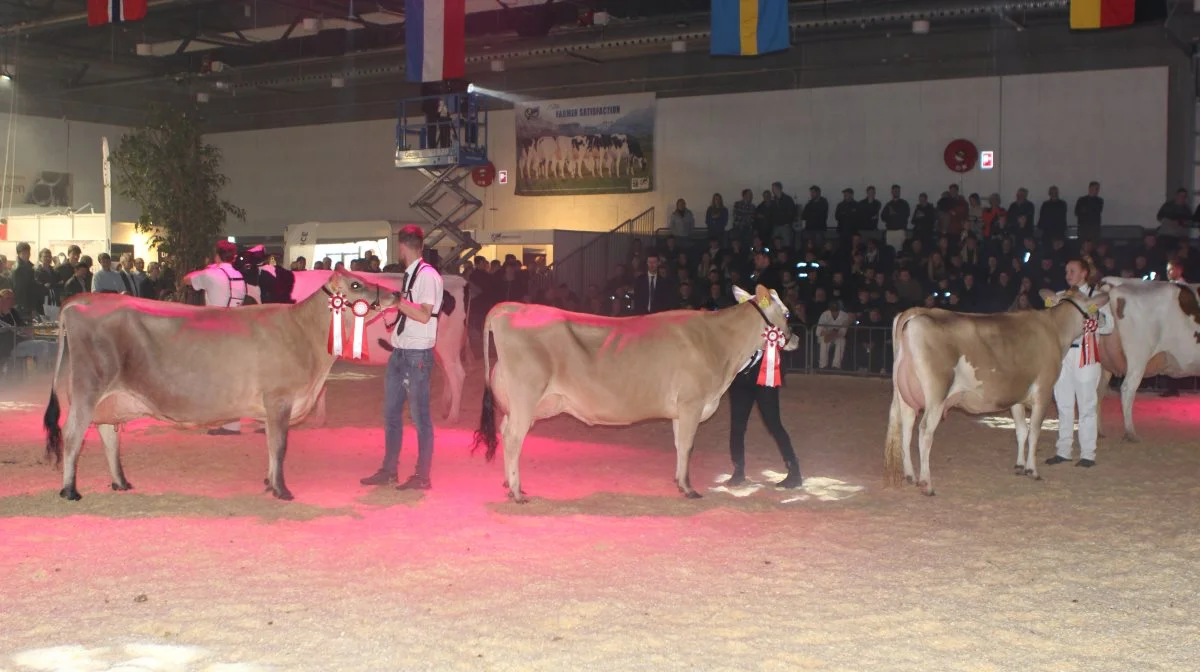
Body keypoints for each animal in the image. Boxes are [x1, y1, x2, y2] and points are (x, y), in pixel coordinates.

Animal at [43, 270, 398, 501]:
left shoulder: (272, 407)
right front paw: (282, 490)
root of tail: (83, 299)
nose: (395, 293)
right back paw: (70, 490)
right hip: (88, 388)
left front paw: (269, 482)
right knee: (73, 434)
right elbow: (280, 446)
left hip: (110, 397)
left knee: (107, 435)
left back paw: (120, 482)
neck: (304, 331)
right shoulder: (279, 399)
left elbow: (270, 444)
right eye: (356, 284)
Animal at [468, 280, 796, 501]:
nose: (794, 338)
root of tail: (511, 307)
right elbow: (688, 445)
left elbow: (679, 446)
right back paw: (516, 492)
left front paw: (678, 482)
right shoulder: (692, 403)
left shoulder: (681, 410)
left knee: (505, 431)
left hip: (518, 402)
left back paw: (510, 485)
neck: (719, 342)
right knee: (513, 438)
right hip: (526, 395)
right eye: (788, 314)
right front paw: (689, 488)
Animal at [888, 288, 1108, 494]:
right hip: (936, 393)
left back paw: (910, 475)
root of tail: (917, 312)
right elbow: (1034, 432)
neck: (1053, 328)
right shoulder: (1044, 391)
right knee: (925, 430)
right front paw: (1032, 470)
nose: (1104, 318)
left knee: (907, 426)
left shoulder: (1017, 396)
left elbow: (1021, 430)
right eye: (1094, 306)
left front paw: (1020, 465)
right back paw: (926, 484)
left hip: (904, 394)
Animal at [1099, 277, 1200, 441]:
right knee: (1127, 388)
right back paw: (1131, 433)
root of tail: (1117, 284)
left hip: (1103, 363)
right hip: (1138, 355)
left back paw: (1099, 431)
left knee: (1097, 393)